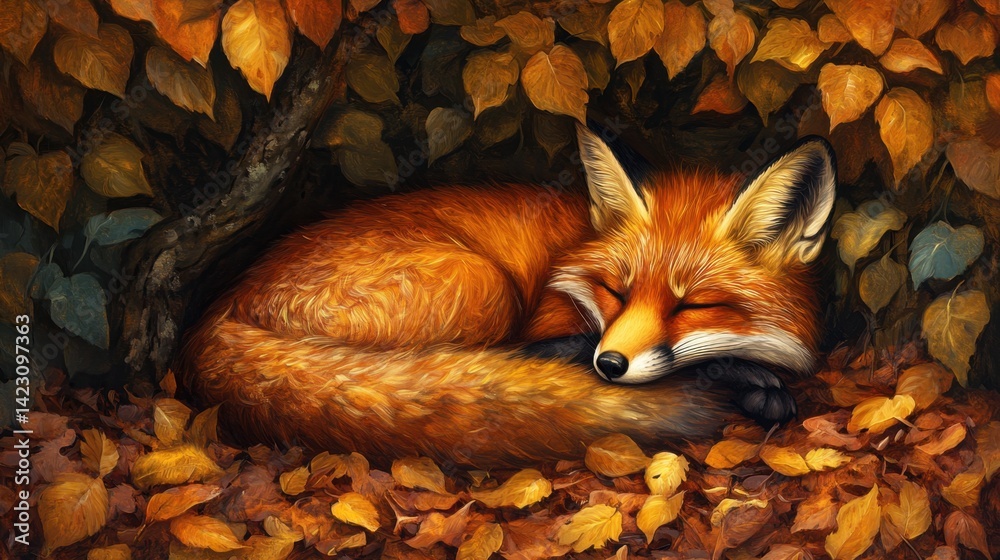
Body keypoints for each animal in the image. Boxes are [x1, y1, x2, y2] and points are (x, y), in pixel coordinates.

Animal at [177, 124, 837, 467]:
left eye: (692, 305)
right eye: (615, 291)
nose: (610, 363)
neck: (573, 247)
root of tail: (221, 308)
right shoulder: (548, 322)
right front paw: (749, 379)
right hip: (483, 284)